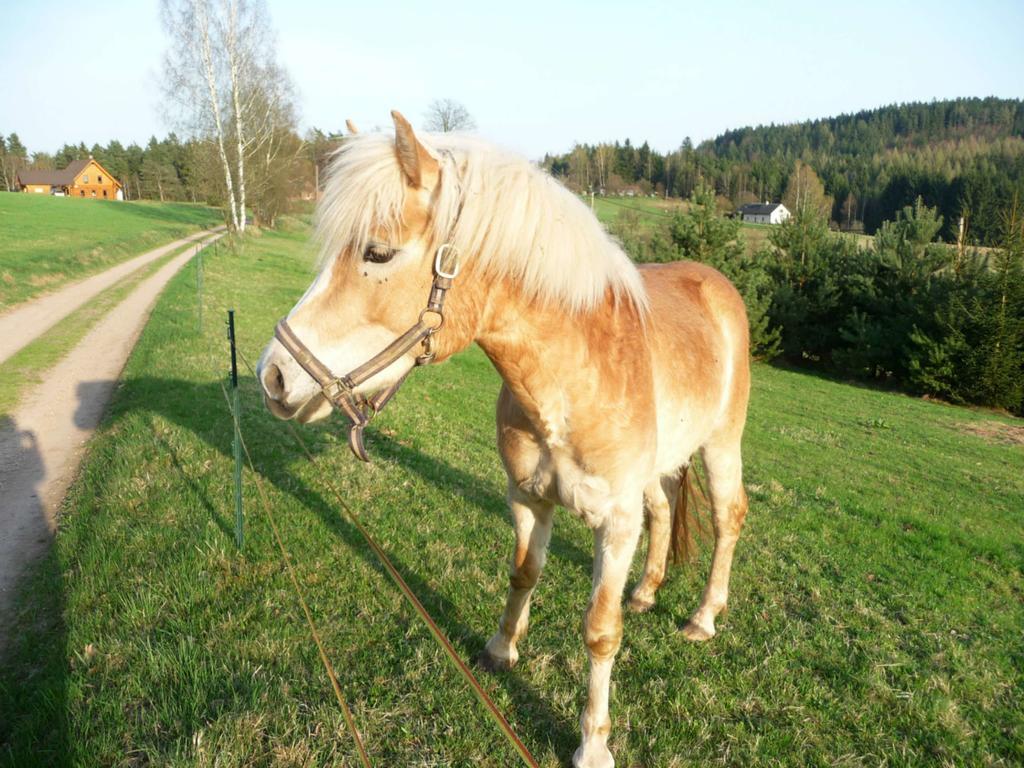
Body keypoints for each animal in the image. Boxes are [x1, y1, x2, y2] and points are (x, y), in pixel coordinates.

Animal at [256, 111, 753, 765]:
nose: (273, 376)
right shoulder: (526, 497)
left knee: (727, 519)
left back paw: (703, 617)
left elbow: (600, 631)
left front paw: (593, 743)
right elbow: (522, 573)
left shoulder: (615, 524)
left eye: (377, 252)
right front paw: (500, 649)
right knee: (666, 510)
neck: (571, 379)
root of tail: (717, 284)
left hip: (721, 446)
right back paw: (646, 592)